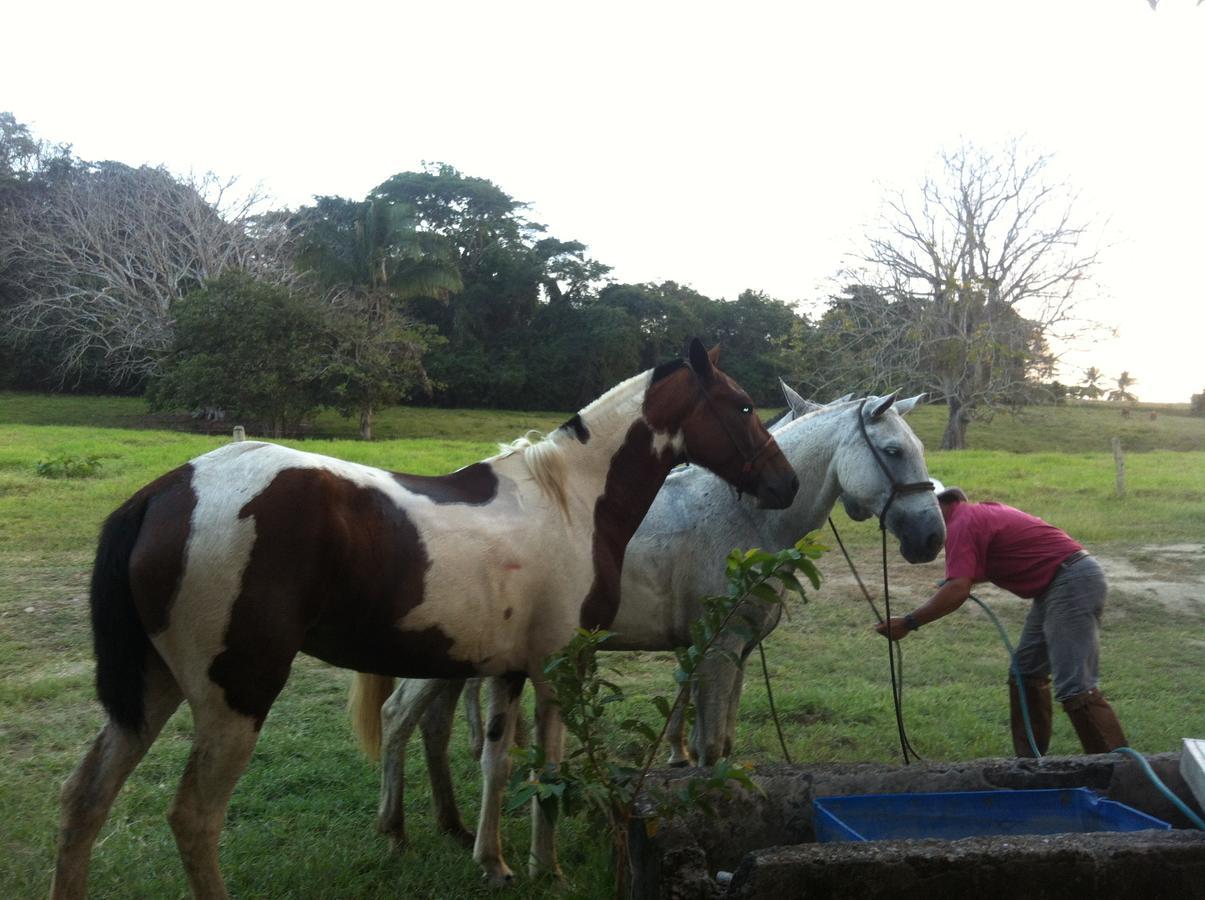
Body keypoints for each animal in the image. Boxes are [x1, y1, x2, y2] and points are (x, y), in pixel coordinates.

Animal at [49, 339, 800, 896]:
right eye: (741, 404)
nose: (785, 483)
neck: (570, 501)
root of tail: (165, 492)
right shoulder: (559, 668)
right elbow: (548, 769)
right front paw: (546, 867)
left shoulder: (507, 671)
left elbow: (498, 760)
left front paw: (492, 861)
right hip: (235, 697)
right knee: (195, 819)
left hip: (152, 689)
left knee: (86, 799)